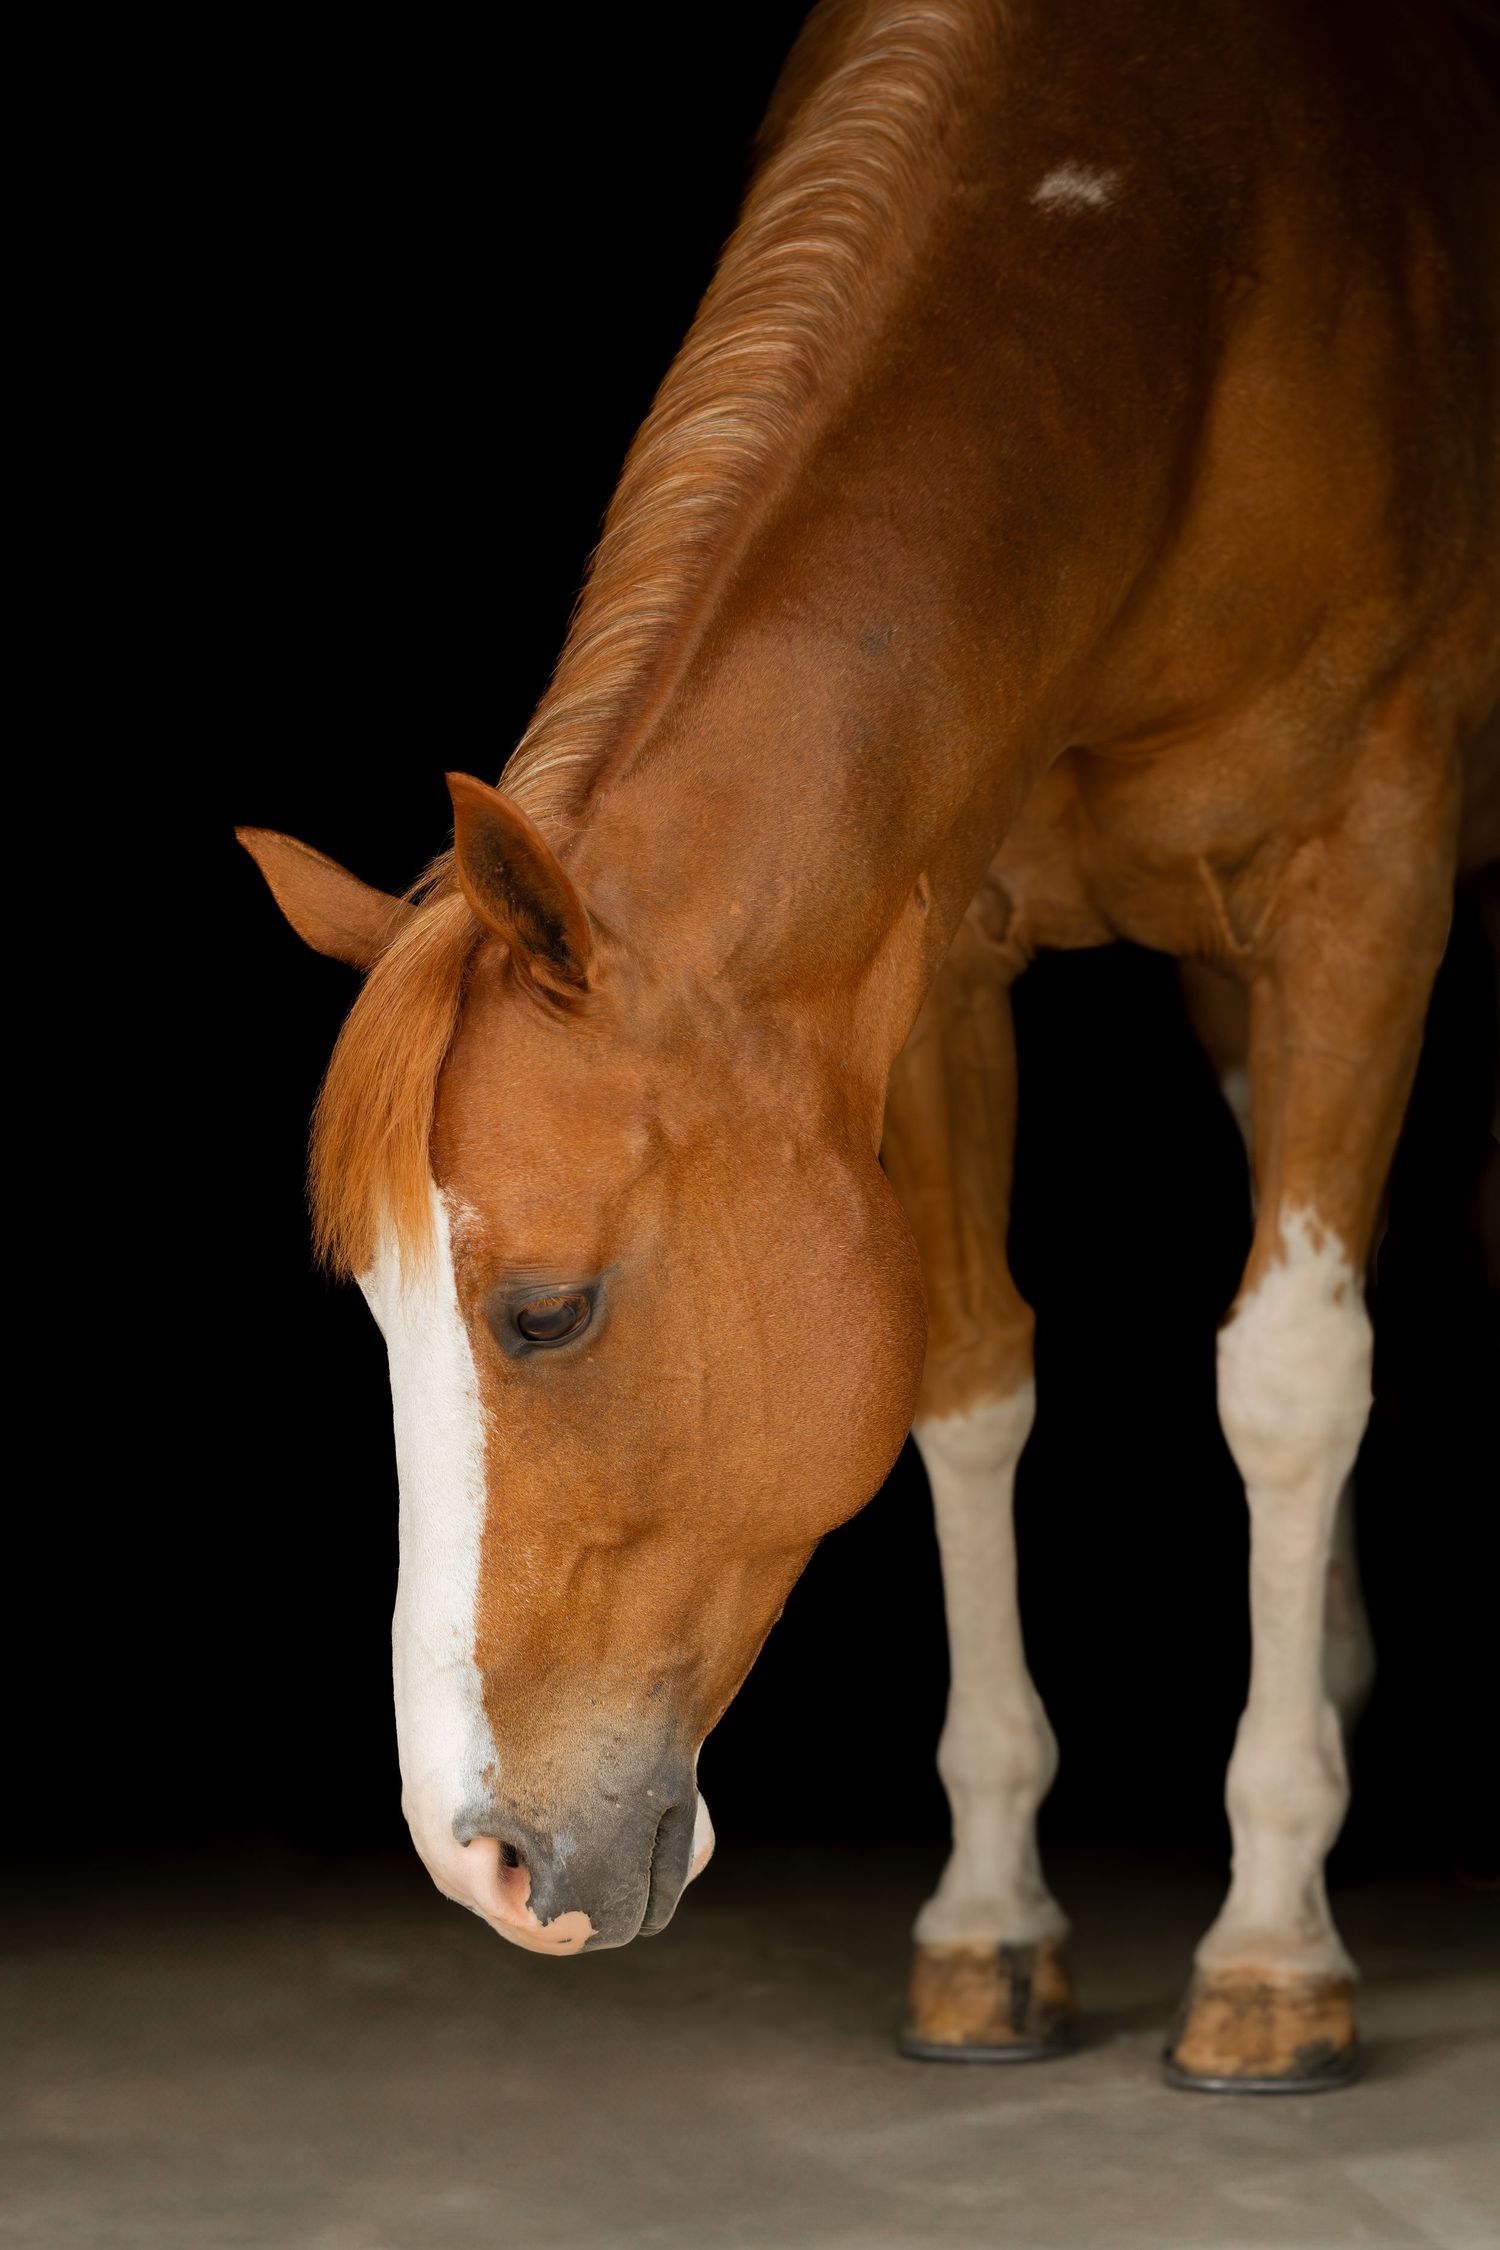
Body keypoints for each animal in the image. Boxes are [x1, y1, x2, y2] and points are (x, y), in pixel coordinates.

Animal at [239, 0, 1499, 2091]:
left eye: (548, 1314)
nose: (482, 1862)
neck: (1182, 295)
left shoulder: (1365, 871)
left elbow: (1286, 1379)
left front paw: (1270, 1951)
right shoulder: (933, 958)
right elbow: (969, 1376)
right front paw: (989, 1925)